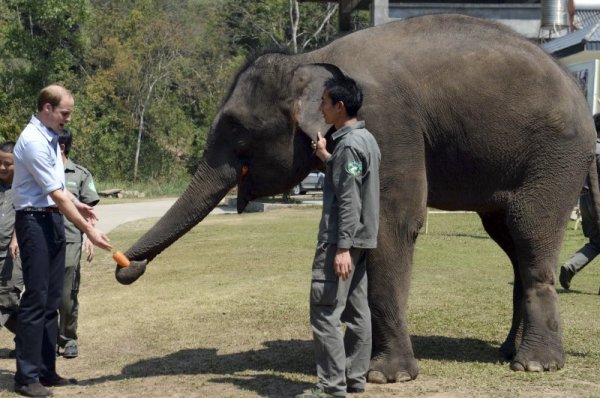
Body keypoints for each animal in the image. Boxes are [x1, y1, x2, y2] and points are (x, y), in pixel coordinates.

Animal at [115, 14, 596, 382]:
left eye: (236, 128)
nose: (125, 267)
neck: (309, 61)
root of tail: (576, 87)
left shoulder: (387, 124)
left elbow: (392, 224)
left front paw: (387, 376)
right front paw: (353, 361)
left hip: (554, 158)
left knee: (530, 233)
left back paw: (535, 366)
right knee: (508, 238)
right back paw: (506, 352)